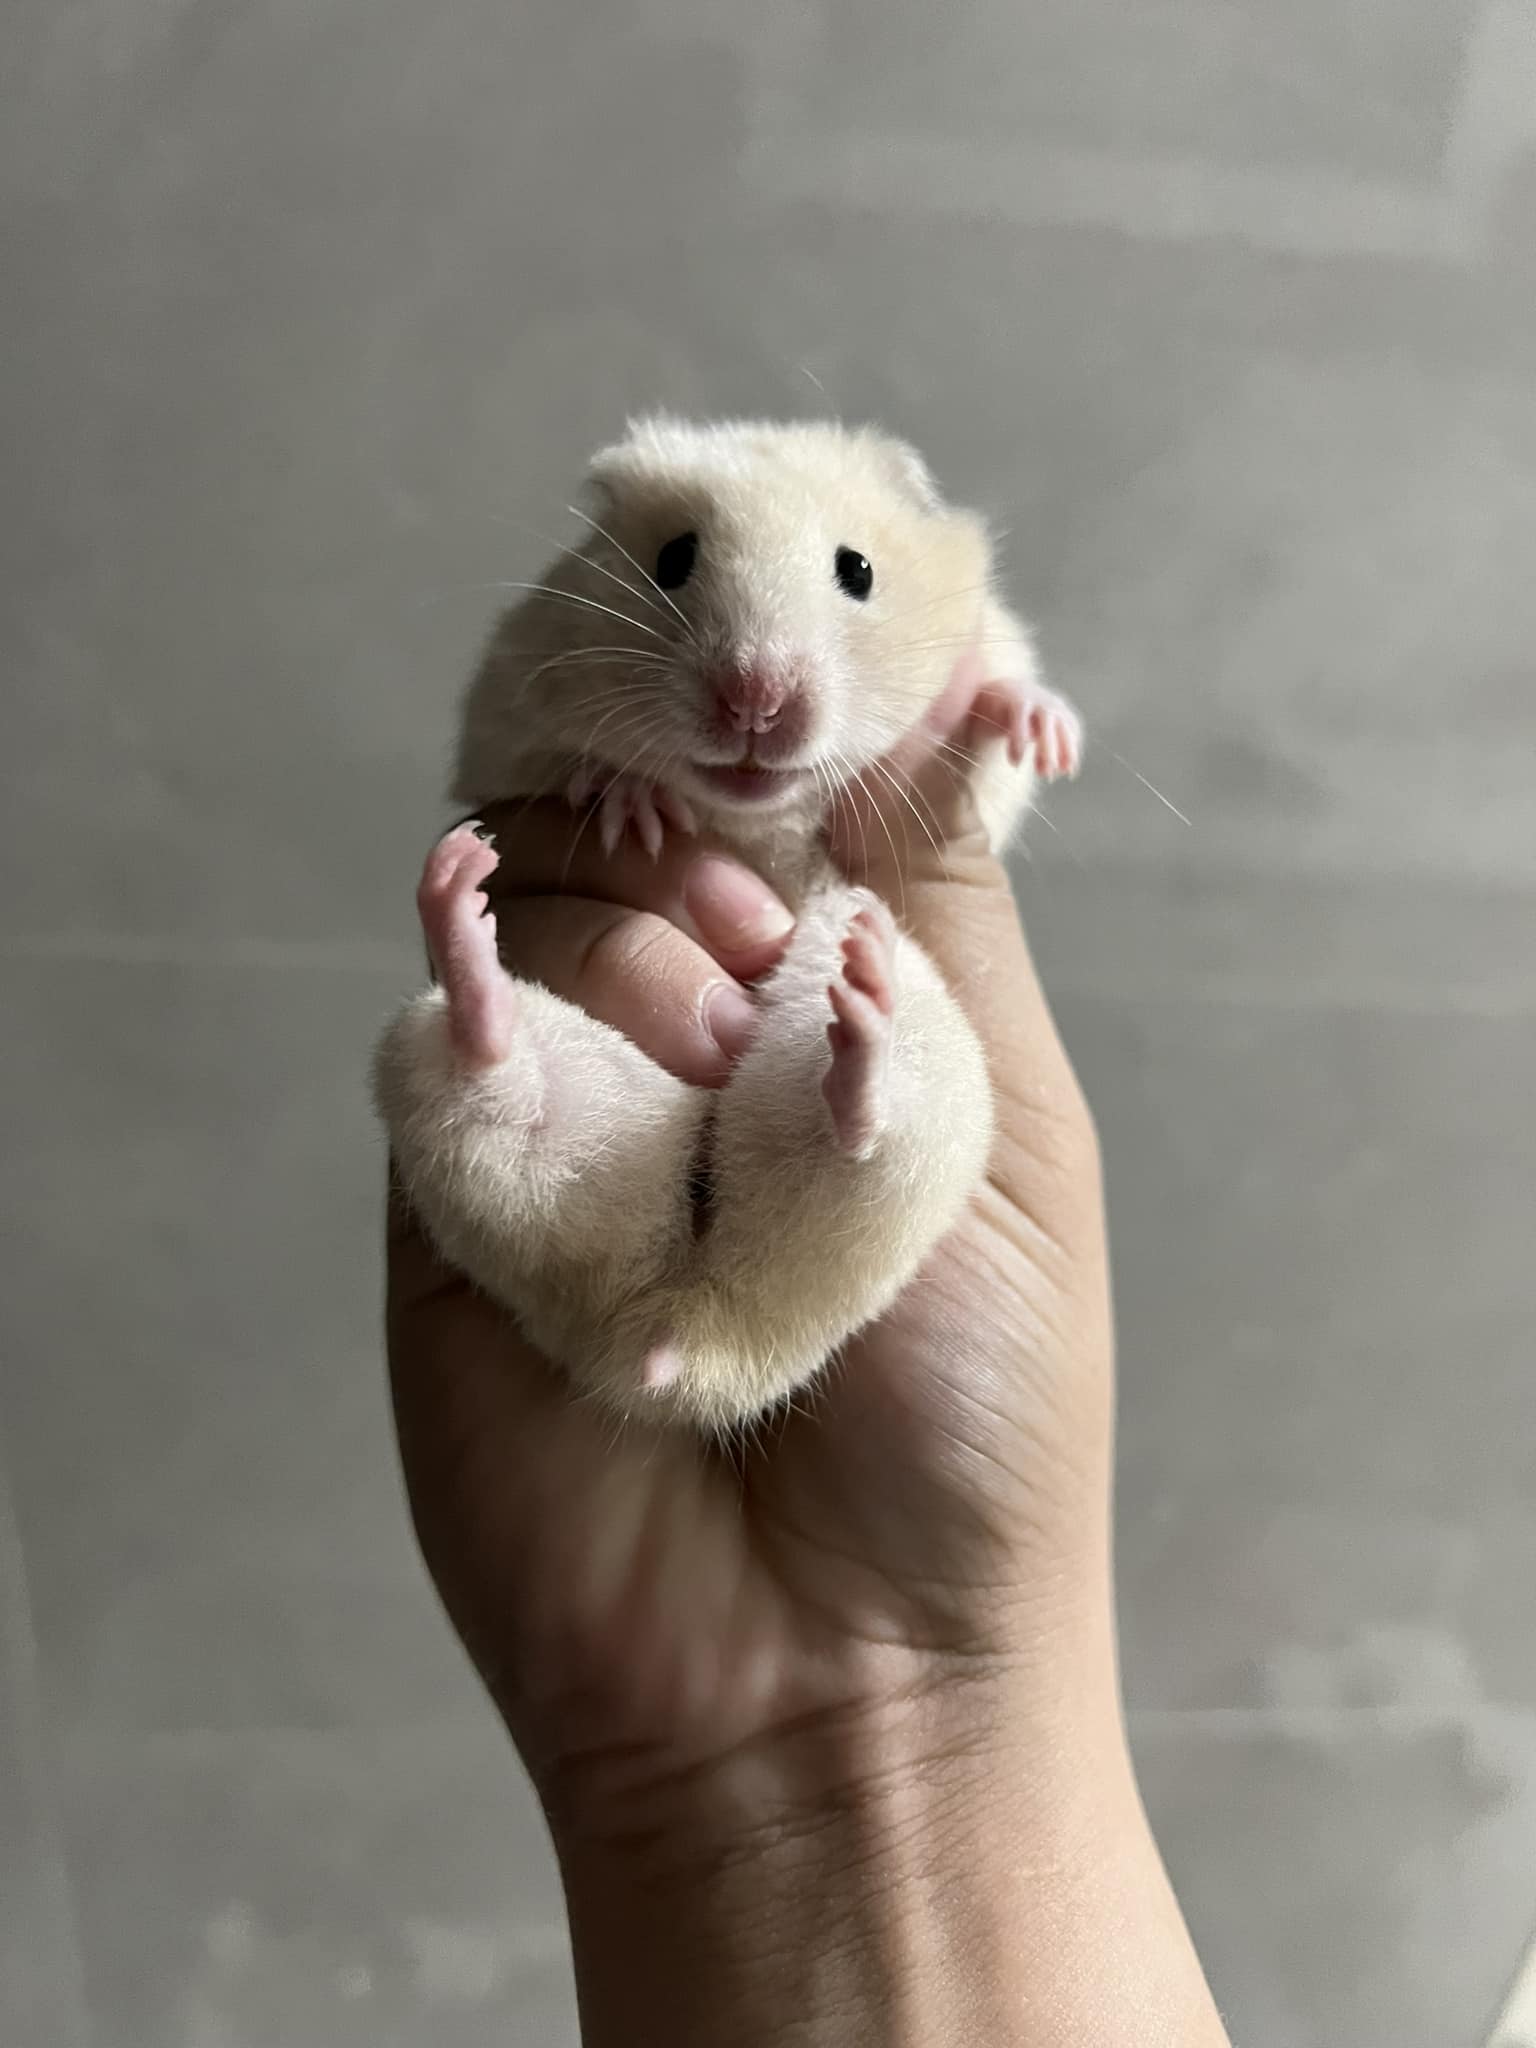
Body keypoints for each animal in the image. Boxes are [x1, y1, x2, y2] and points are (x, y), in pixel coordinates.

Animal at [373, 418, 1081, 1431]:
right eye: (673, 559)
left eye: (858, 570)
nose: (756, 700)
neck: (757, 819)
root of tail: (688, 1344)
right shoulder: (506, 715)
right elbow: (563, 765)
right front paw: (633, 809)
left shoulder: (981, 718)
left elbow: (997, 708)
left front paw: (1042, 730)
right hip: (467, 1087)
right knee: (493, 1073)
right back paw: (461, 903)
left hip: (937, 1098)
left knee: (862, 1129)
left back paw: (861, 998)